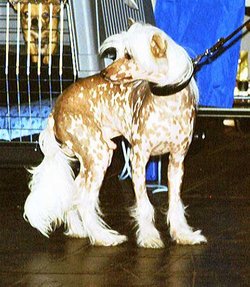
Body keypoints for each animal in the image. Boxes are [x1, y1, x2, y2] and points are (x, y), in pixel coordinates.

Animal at [23, 22, 207, 248]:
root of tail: (55, 111)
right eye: (118, 53)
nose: (104, 72)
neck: (167, 102)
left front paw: (183, 234)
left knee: (74, 196)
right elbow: (144, 205)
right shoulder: (139, 159)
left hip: (92, 159)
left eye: (128, 55)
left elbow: (175, 204)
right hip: (98, 156)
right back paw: (104, 237)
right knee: (84, 202)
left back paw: (78, 230)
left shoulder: (177, 162)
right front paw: (149, 237)